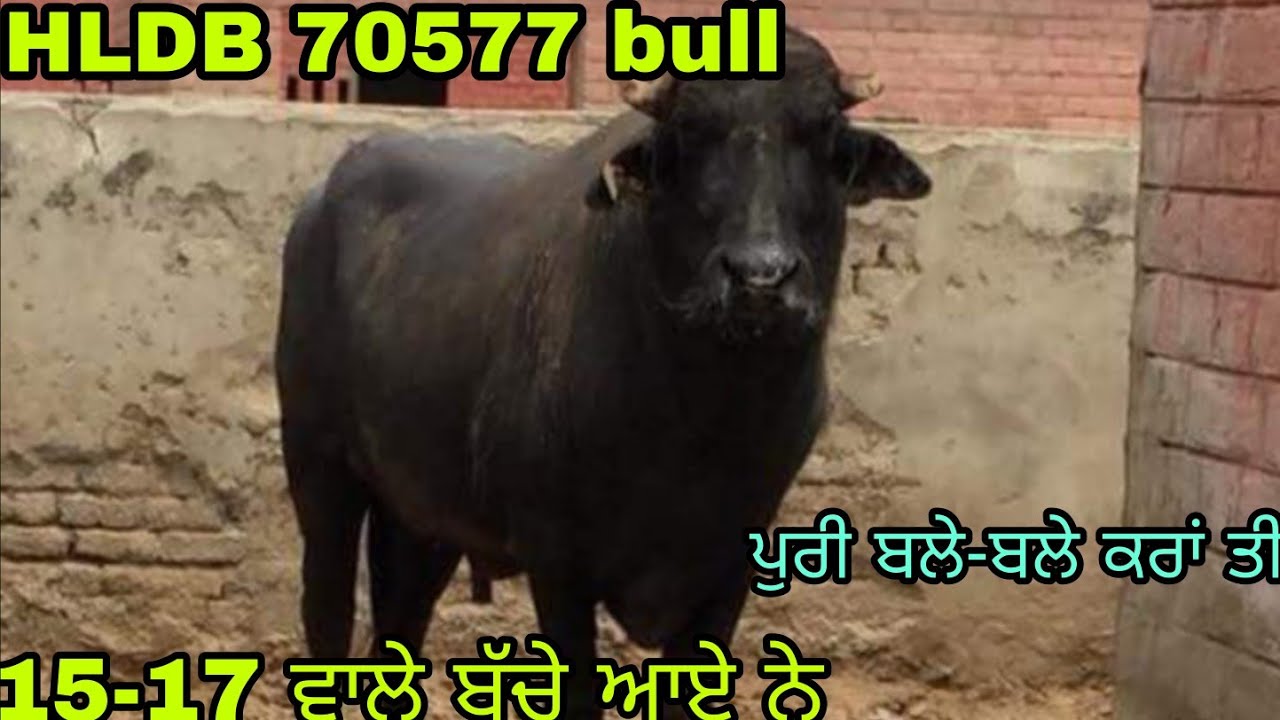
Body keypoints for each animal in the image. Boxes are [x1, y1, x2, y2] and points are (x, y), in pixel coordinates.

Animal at [274, 26, 931, 719]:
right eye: (689, 132)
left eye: (825, 131)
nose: (760, 278)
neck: (701, 423)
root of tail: (317, 207)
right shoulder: (558, 564)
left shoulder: (728, 568)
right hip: (319, 466)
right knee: (326, 613)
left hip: (420, 516)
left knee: (400, 627)